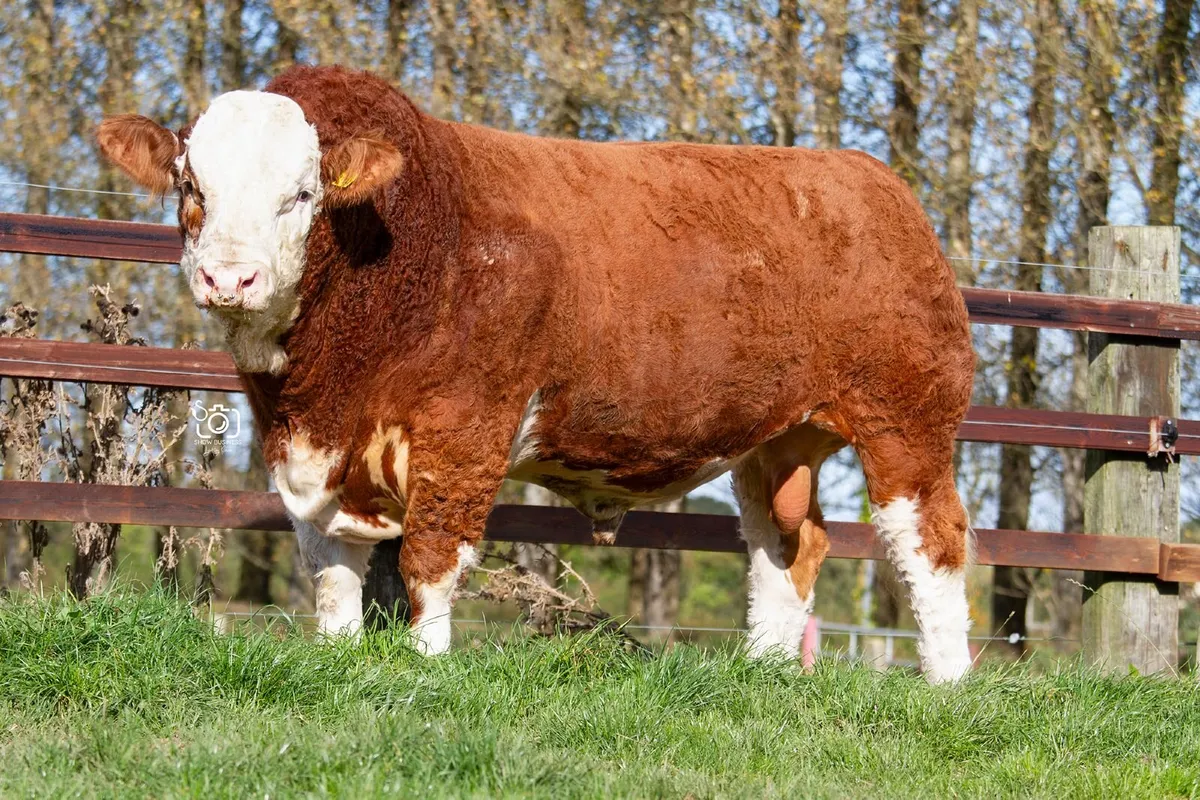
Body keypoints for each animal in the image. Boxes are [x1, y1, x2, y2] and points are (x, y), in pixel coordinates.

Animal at [97, 65, 976, 683]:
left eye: (302, 194)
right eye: (190, 185)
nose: (229, 278)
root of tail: (874, 182)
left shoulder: (465, 428)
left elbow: (430, 559)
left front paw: (425, 669)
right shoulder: (307, 456)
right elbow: (332, 572)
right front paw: (341, 658)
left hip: (907, 420)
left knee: (931, 543)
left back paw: (947, 684)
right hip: (775, 440)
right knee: (785, 544)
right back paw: (763, 673)